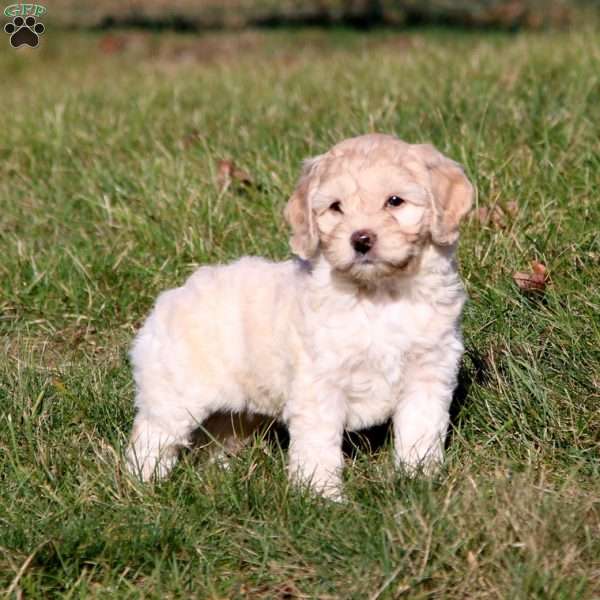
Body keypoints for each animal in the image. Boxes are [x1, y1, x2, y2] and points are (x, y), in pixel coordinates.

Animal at [126, 135, 474, 496]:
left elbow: (421, 430)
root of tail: (168, 299)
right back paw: (144, 485)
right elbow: (318, 445)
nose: (361, 239)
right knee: (151, 438)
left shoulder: (428, 373)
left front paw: (420, 478)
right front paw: (321, 495)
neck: (378, 295)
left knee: (216, 437)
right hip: (175, 395)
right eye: (336, 207)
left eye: (395, 201)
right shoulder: (319, 383)